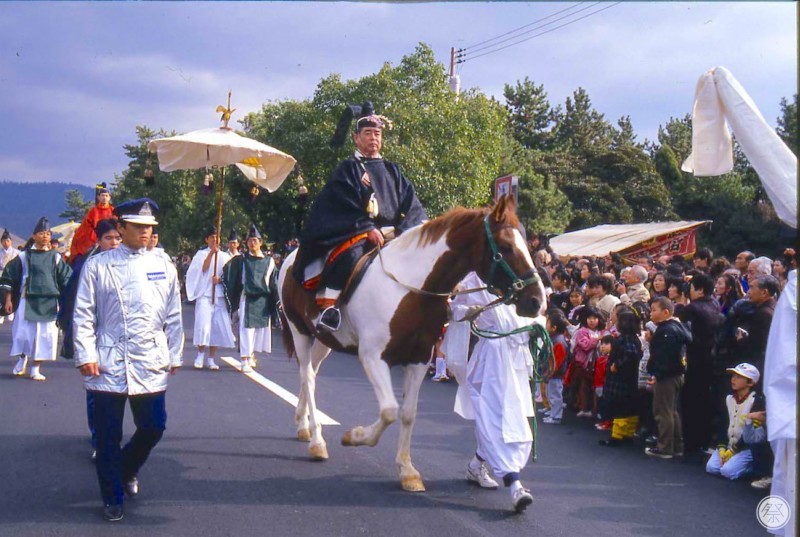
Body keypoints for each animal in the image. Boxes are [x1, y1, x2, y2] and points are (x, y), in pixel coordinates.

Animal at [278, 195, 548, 492]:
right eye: (506, 247)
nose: (537, 301)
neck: (412, 290)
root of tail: (290, 258)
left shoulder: (419, 359)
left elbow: (408, 413)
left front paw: (407, 470)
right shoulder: (372, 357)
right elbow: (389, 411)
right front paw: (355, 436)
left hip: (324, 340)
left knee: (310, 375)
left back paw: (303, 426)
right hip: (300, 331)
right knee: (308, 378)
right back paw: (317, 441)